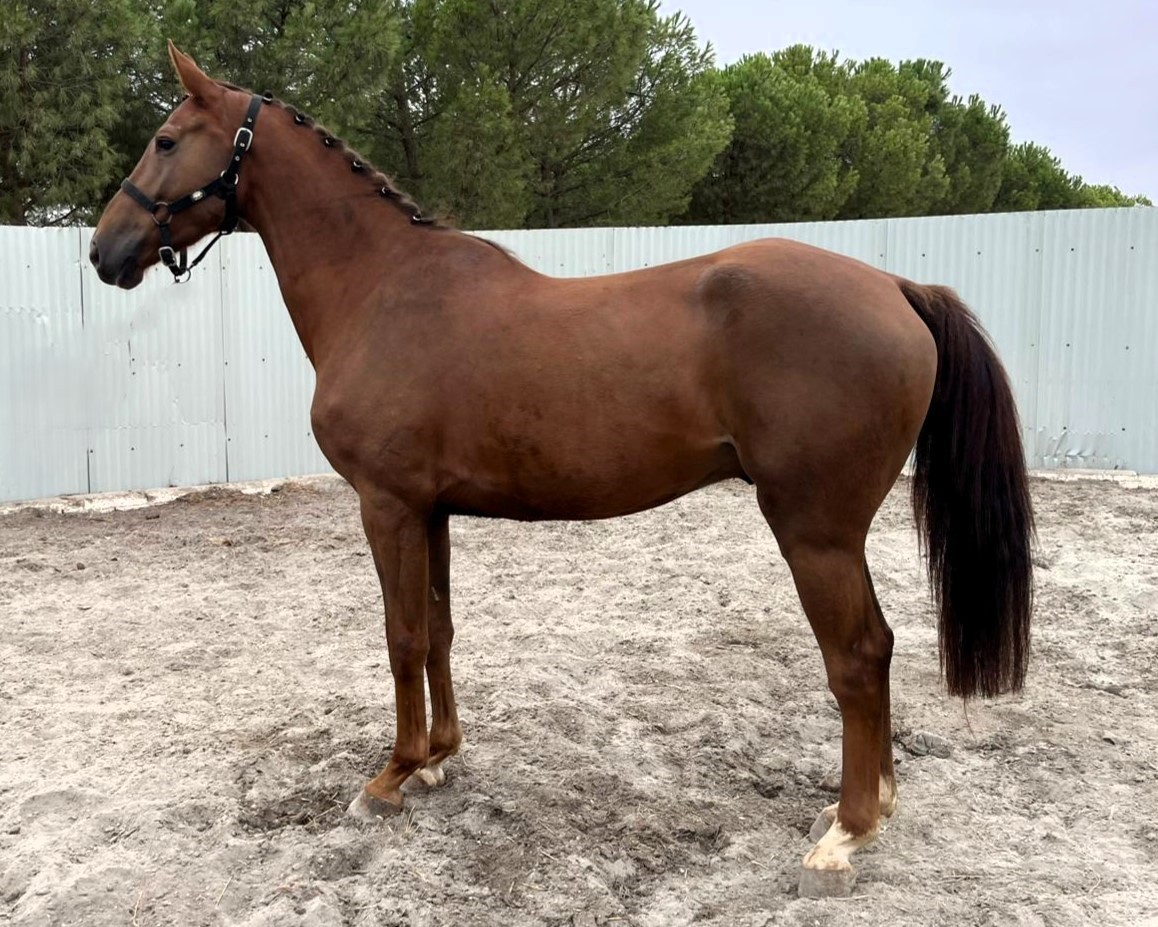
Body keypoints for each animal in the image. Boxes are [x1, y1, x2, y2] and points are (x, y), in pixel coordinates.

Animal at [89, 42, 1034, 898]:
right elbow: (439, 630)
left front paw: (391, 776)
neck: (383, 287)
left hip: (816, 531)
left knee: (858, 656)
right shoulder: (430, 510)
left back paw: (845, 835)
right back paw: (866, 808)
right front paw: (440, 760)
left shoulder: (385, 505)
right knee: (874, 651)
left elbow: (400, 637)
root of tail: (895, 287)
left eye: (167, 139)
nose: (105, 251)